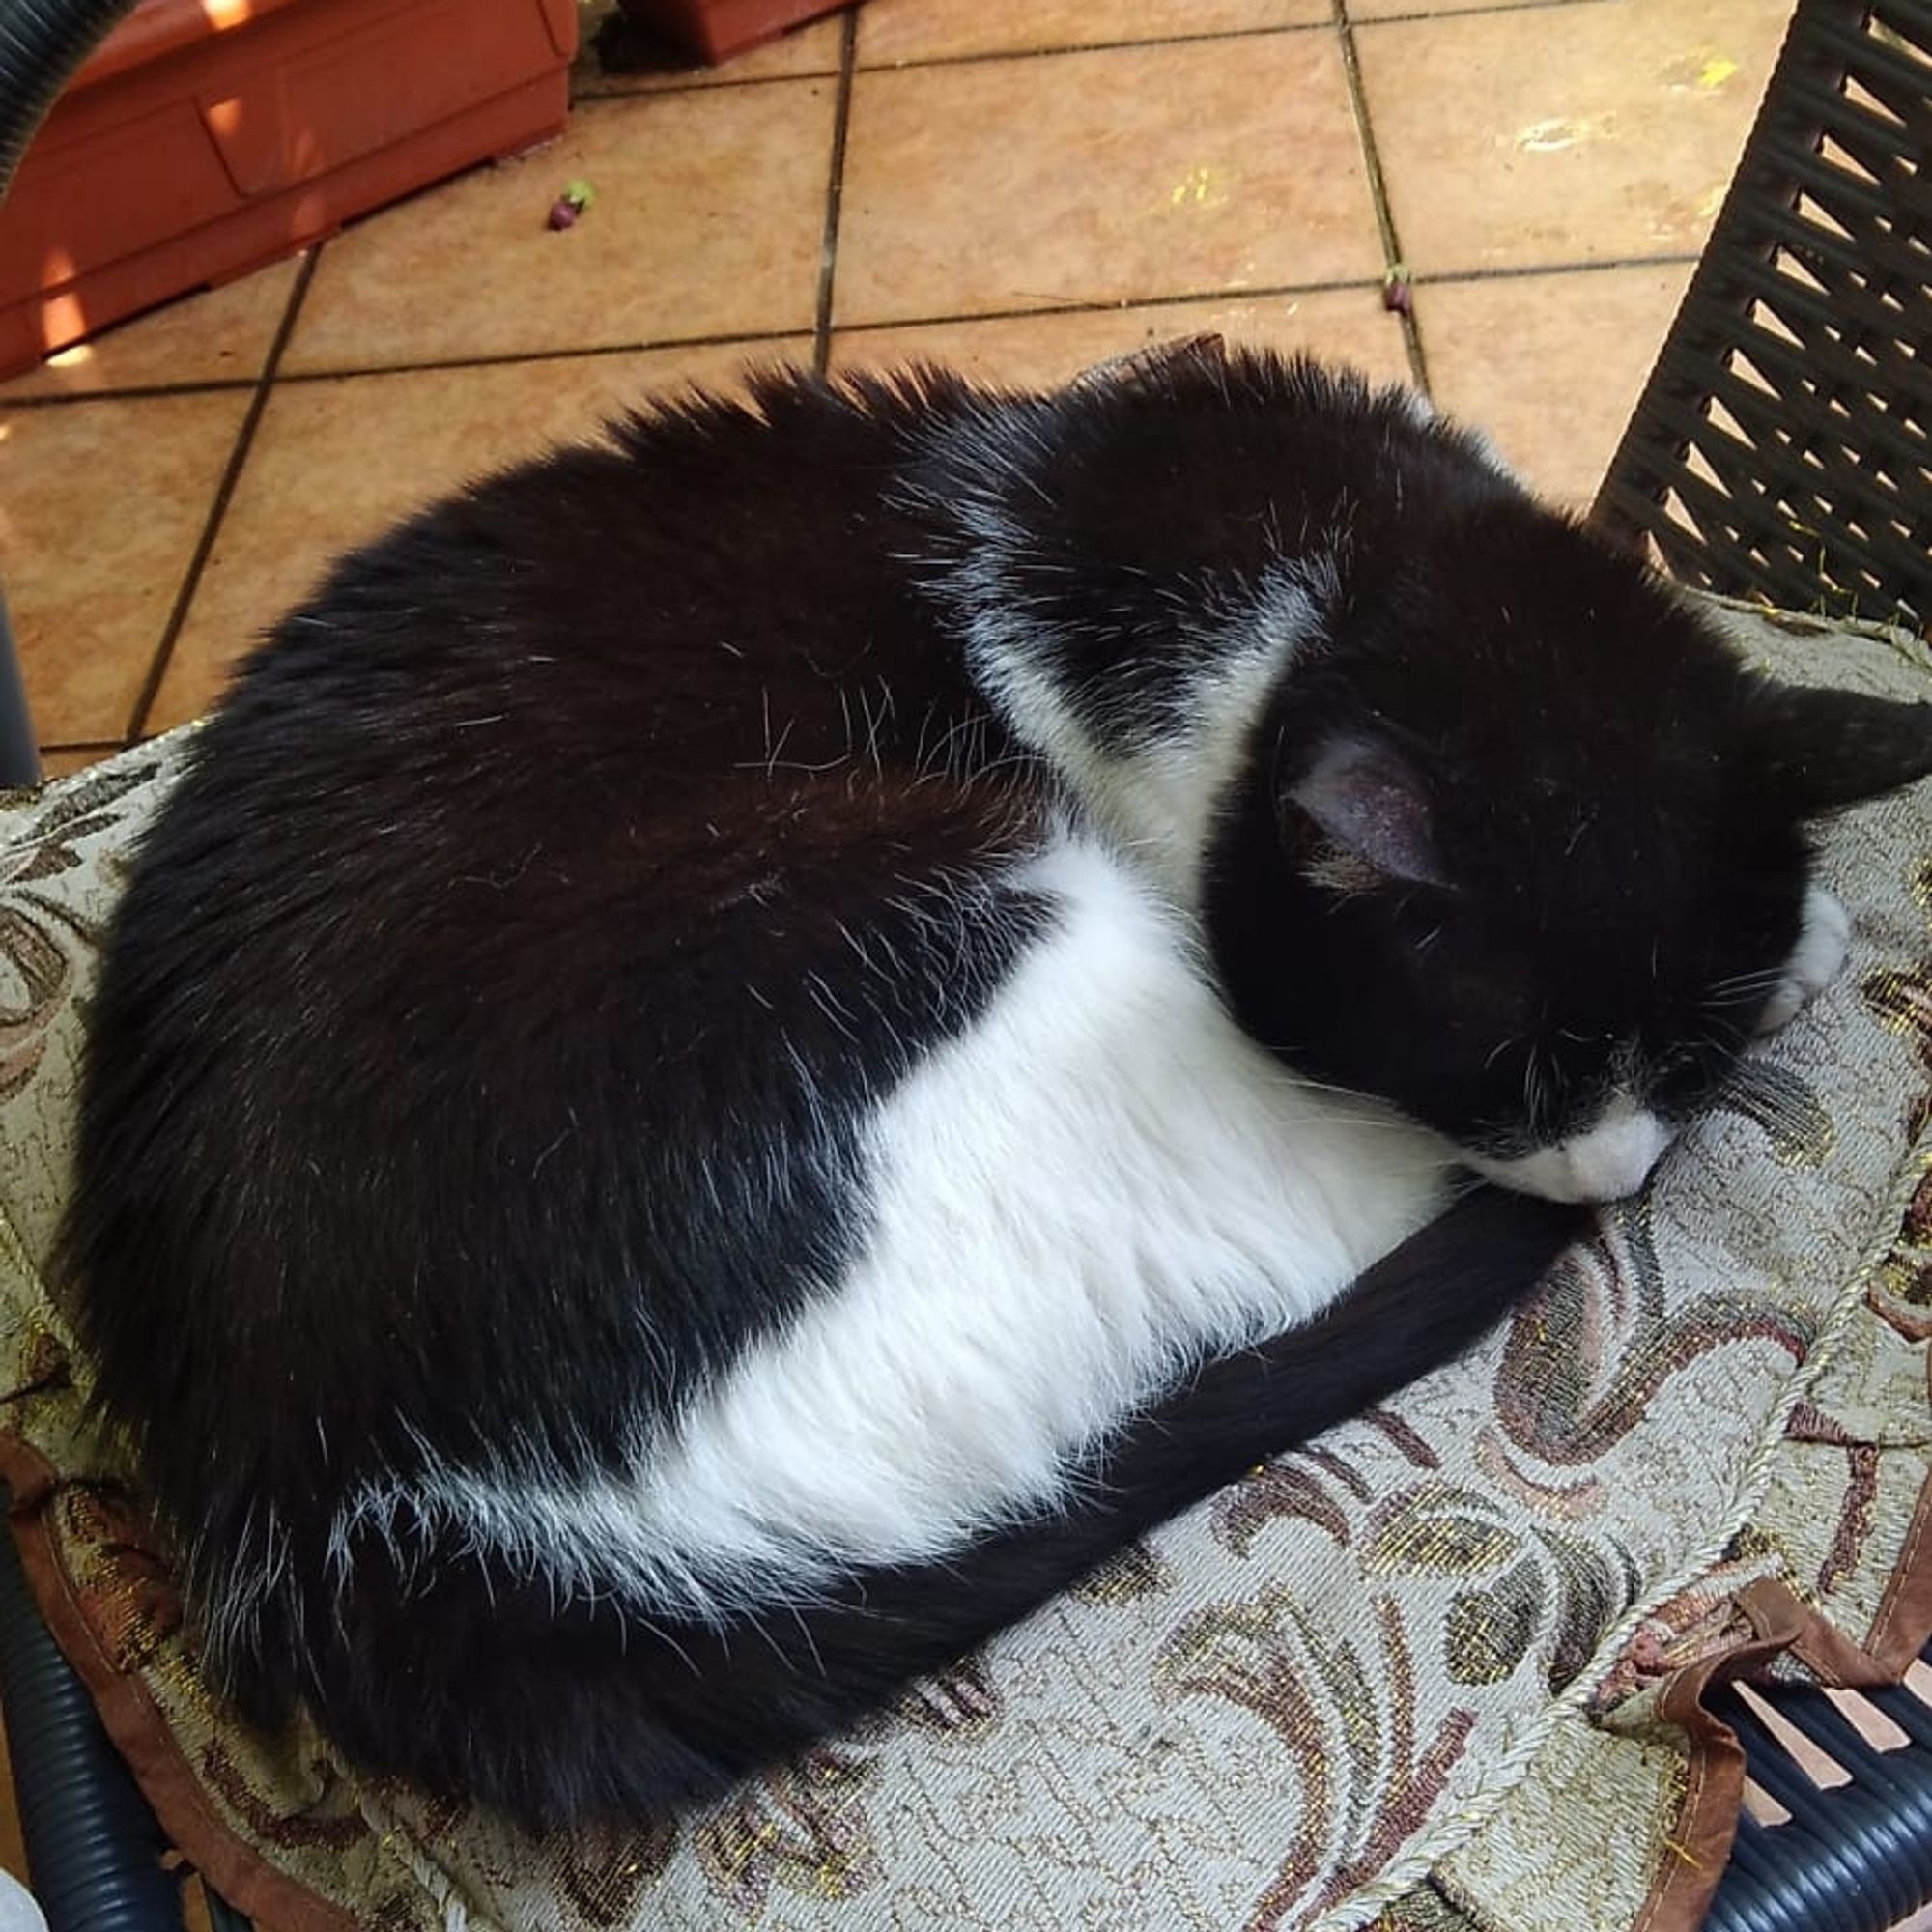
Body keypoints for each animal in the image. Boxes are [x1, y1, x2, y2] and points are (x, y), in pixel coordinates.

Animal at [60, 344, 1932, 1824]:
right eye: (1510, 1072)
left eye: (1685, 1058)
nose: (1619, 1175)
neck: (1322, 544)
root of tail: (379, 1548)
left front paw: (1804, 943)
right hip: (940, 923)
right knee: (1292, 1228)